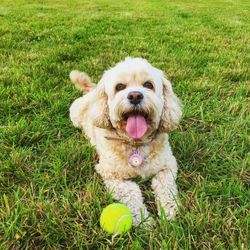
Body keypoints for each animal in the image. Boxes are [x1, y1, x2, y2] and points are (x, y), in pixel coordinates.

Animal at [69, 57, 183, 226]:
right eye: (120, 87)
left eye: (148, 85)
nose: (135, 96)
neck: (135, 143)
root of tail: (92, 90)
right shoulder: (111, 174)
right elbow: (131, 192)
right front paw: (143, 219)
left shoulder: (167, 166)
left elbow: (165, 188)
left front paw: (169, 211)